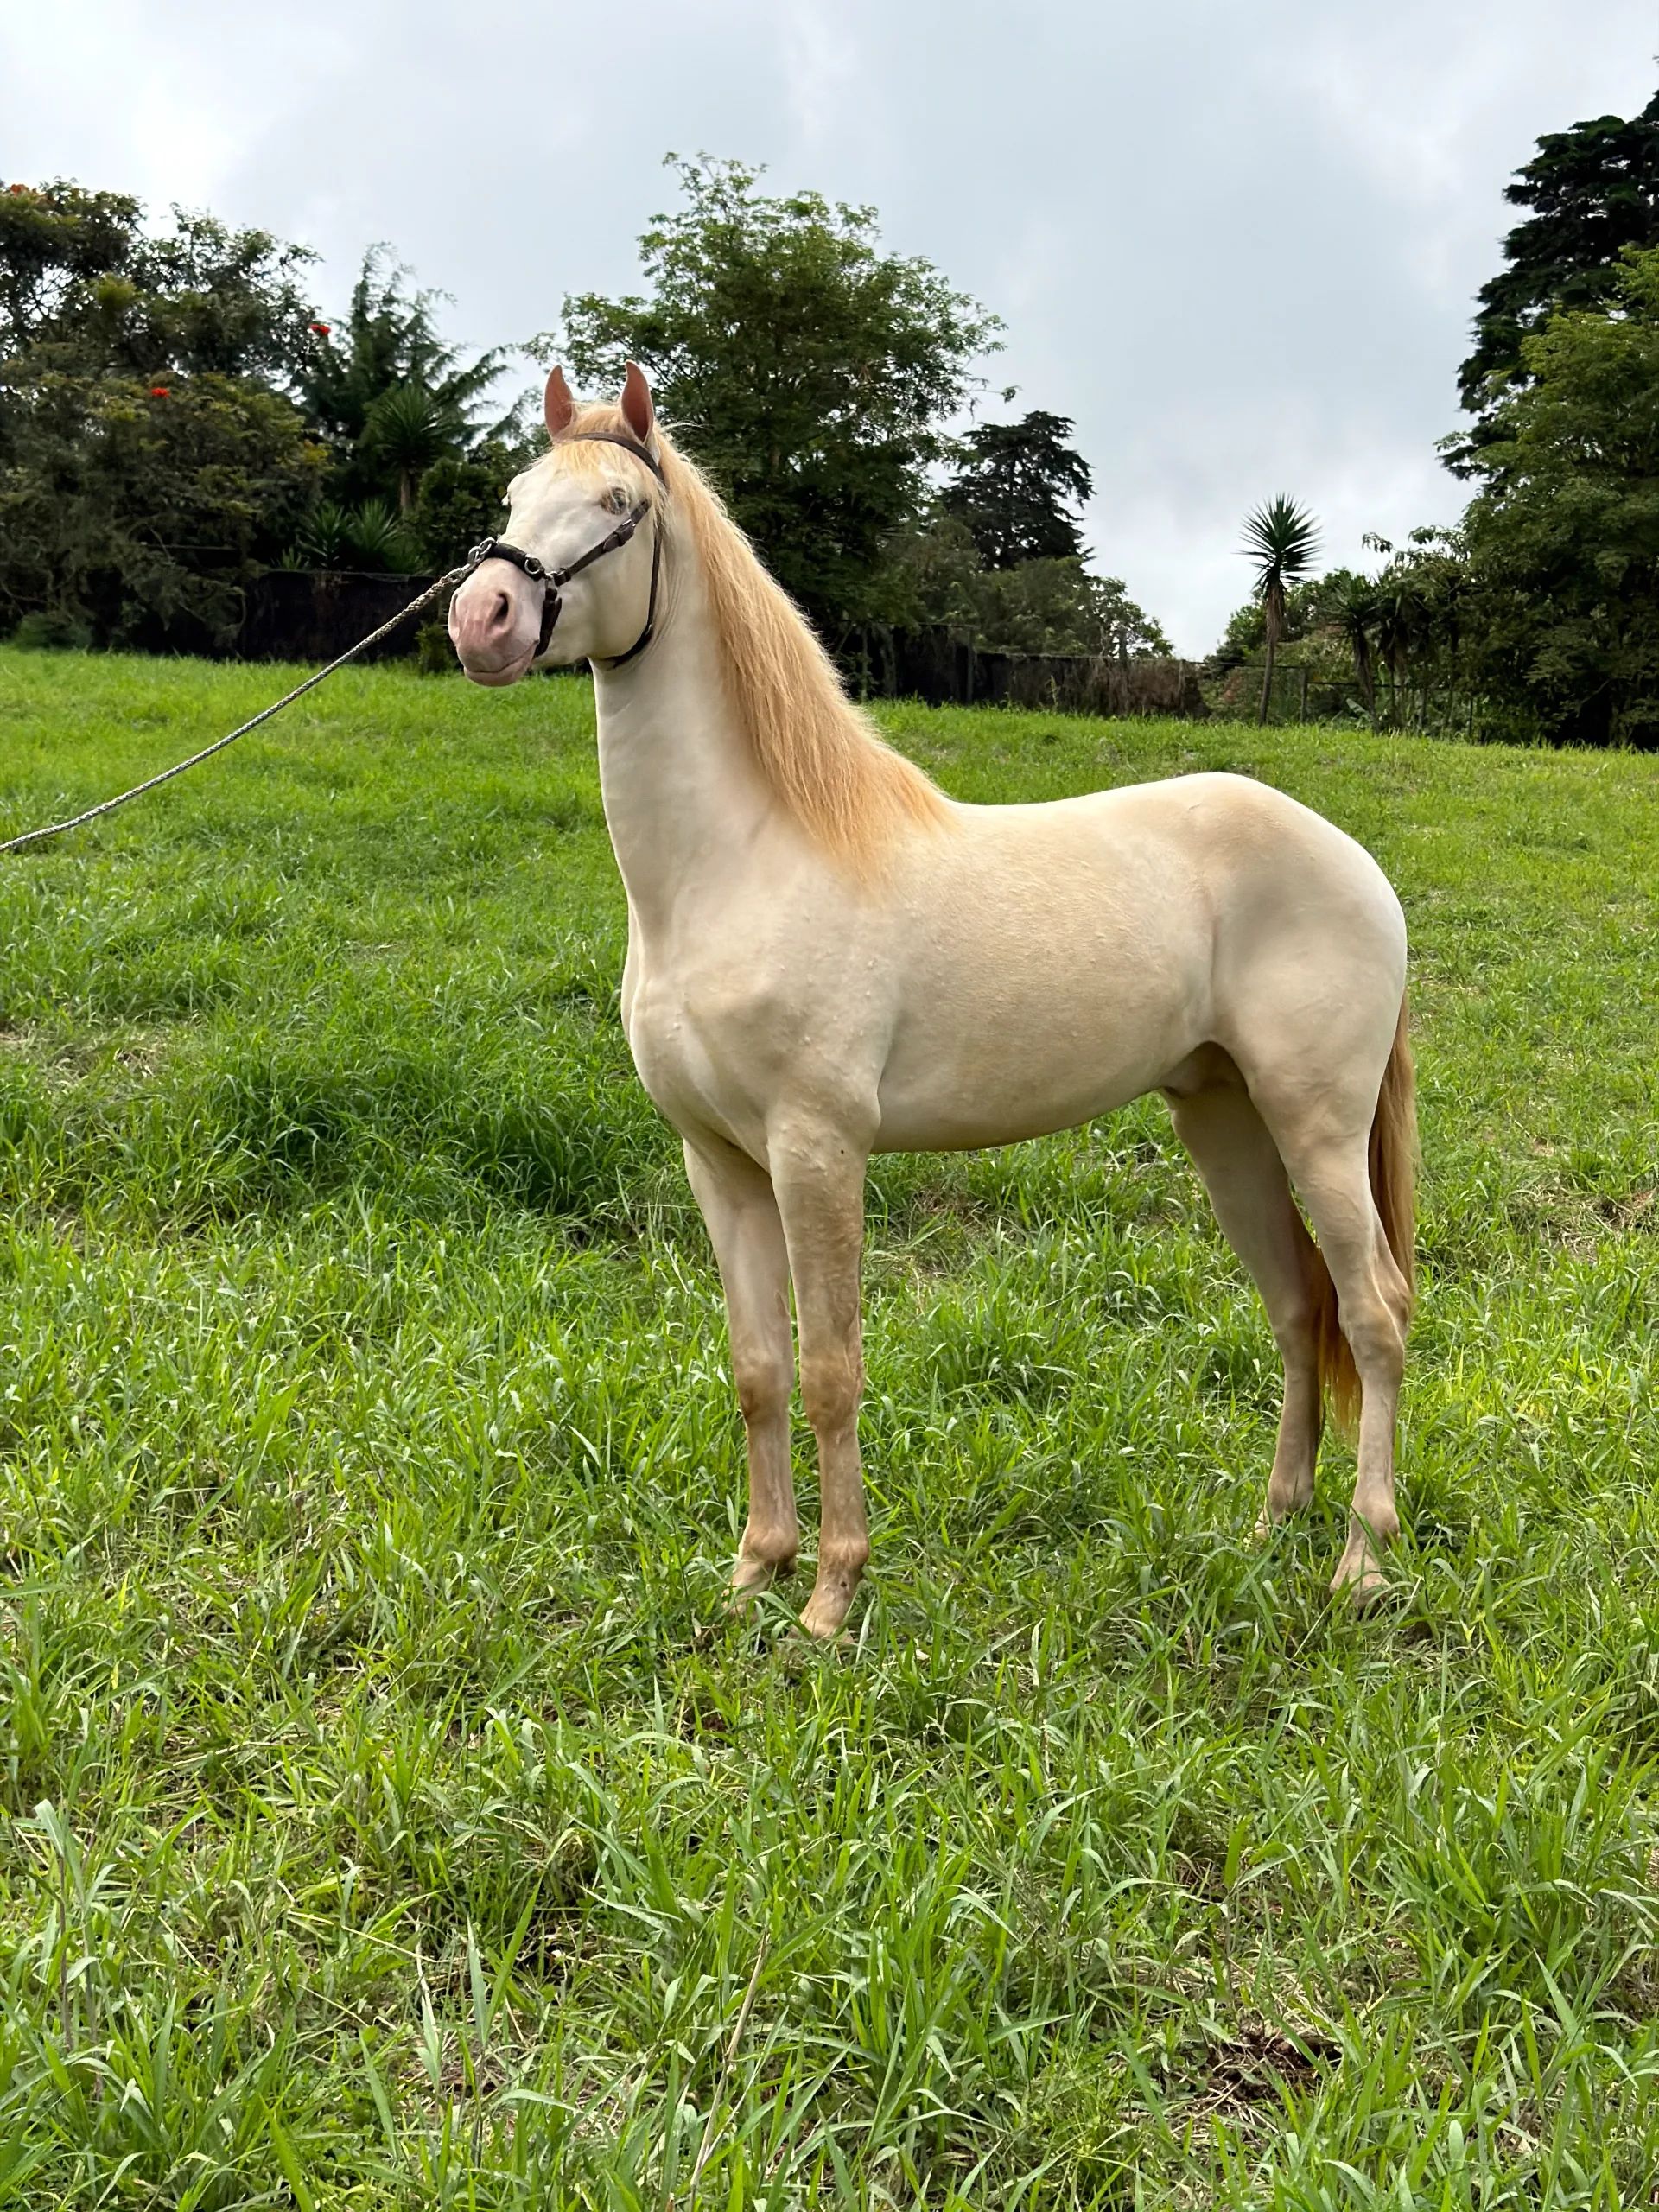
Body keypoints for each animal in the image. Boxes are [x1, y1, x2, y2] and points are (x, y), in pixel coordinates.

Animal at [449, 364, 1417, 1639]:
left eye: (622, 507)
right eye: (516, 492)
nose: (484, 618)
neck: (738, 864)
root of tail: (1357, 863)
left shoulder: (817, 1151)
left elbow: (830, 1371)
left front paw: (831, 1595)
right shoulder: (721, 1163)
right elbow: (757, 1369)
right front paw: (754, 1568)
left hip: (1318, 1125)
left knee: (1374, 1311)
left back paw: (1362, 1560)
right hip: (1226, 1123)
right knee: (1298, 1305)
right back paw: (1271, 1526)